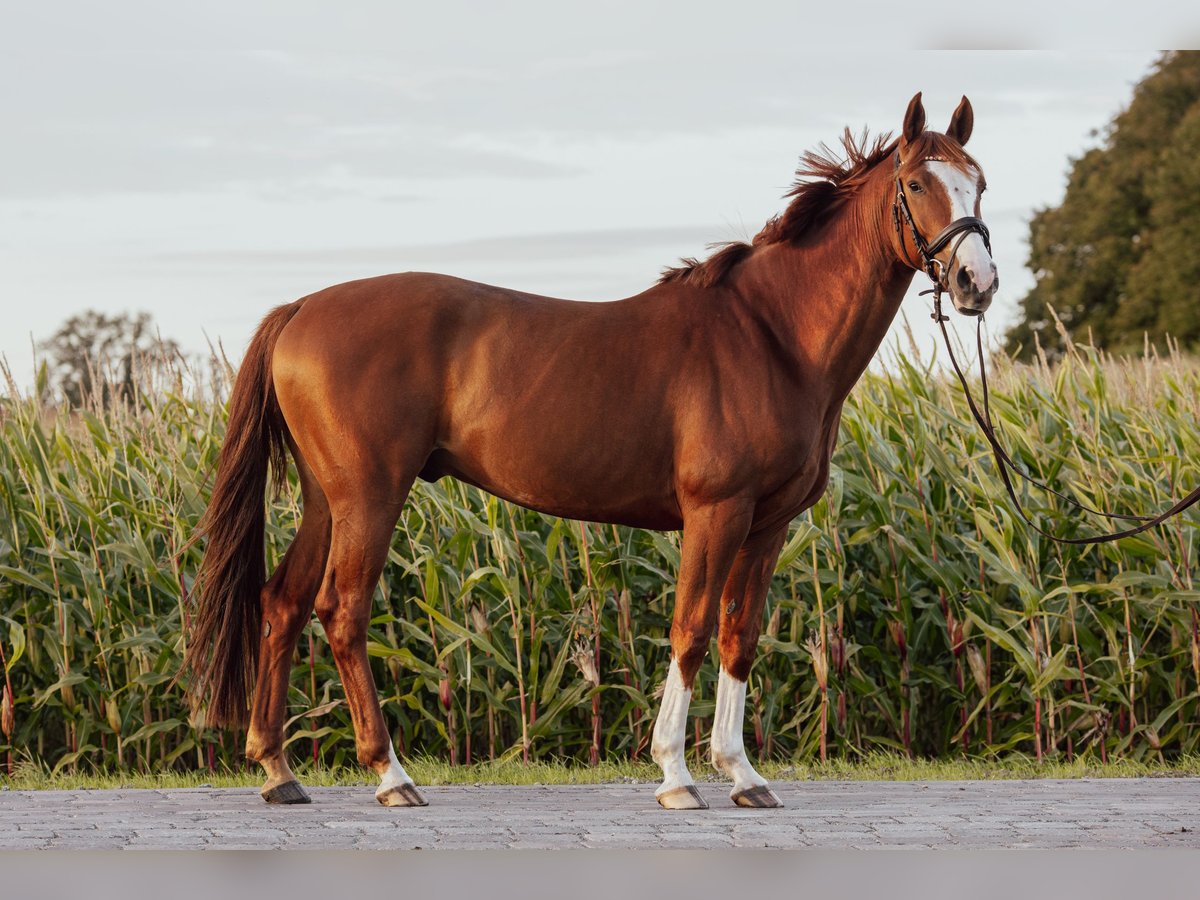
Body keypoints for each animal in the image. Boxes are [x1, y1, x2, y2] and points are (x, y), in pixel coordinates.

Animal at [184, 95, 993, 816]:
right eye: (916, 184)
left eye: (979, 181)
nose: (975, 283)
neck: (772, 335)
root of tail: (300, 309)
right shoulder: (715, 513)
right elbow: (690, 630)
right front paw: (676, 775)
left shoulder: (767, 525)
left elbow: (739, 636)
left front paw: (743, 774)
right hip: (370, 498)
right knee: (342, 613)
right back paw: (391, 775)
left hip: (329, 499)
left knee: (282, 604)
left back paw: (279, 771)